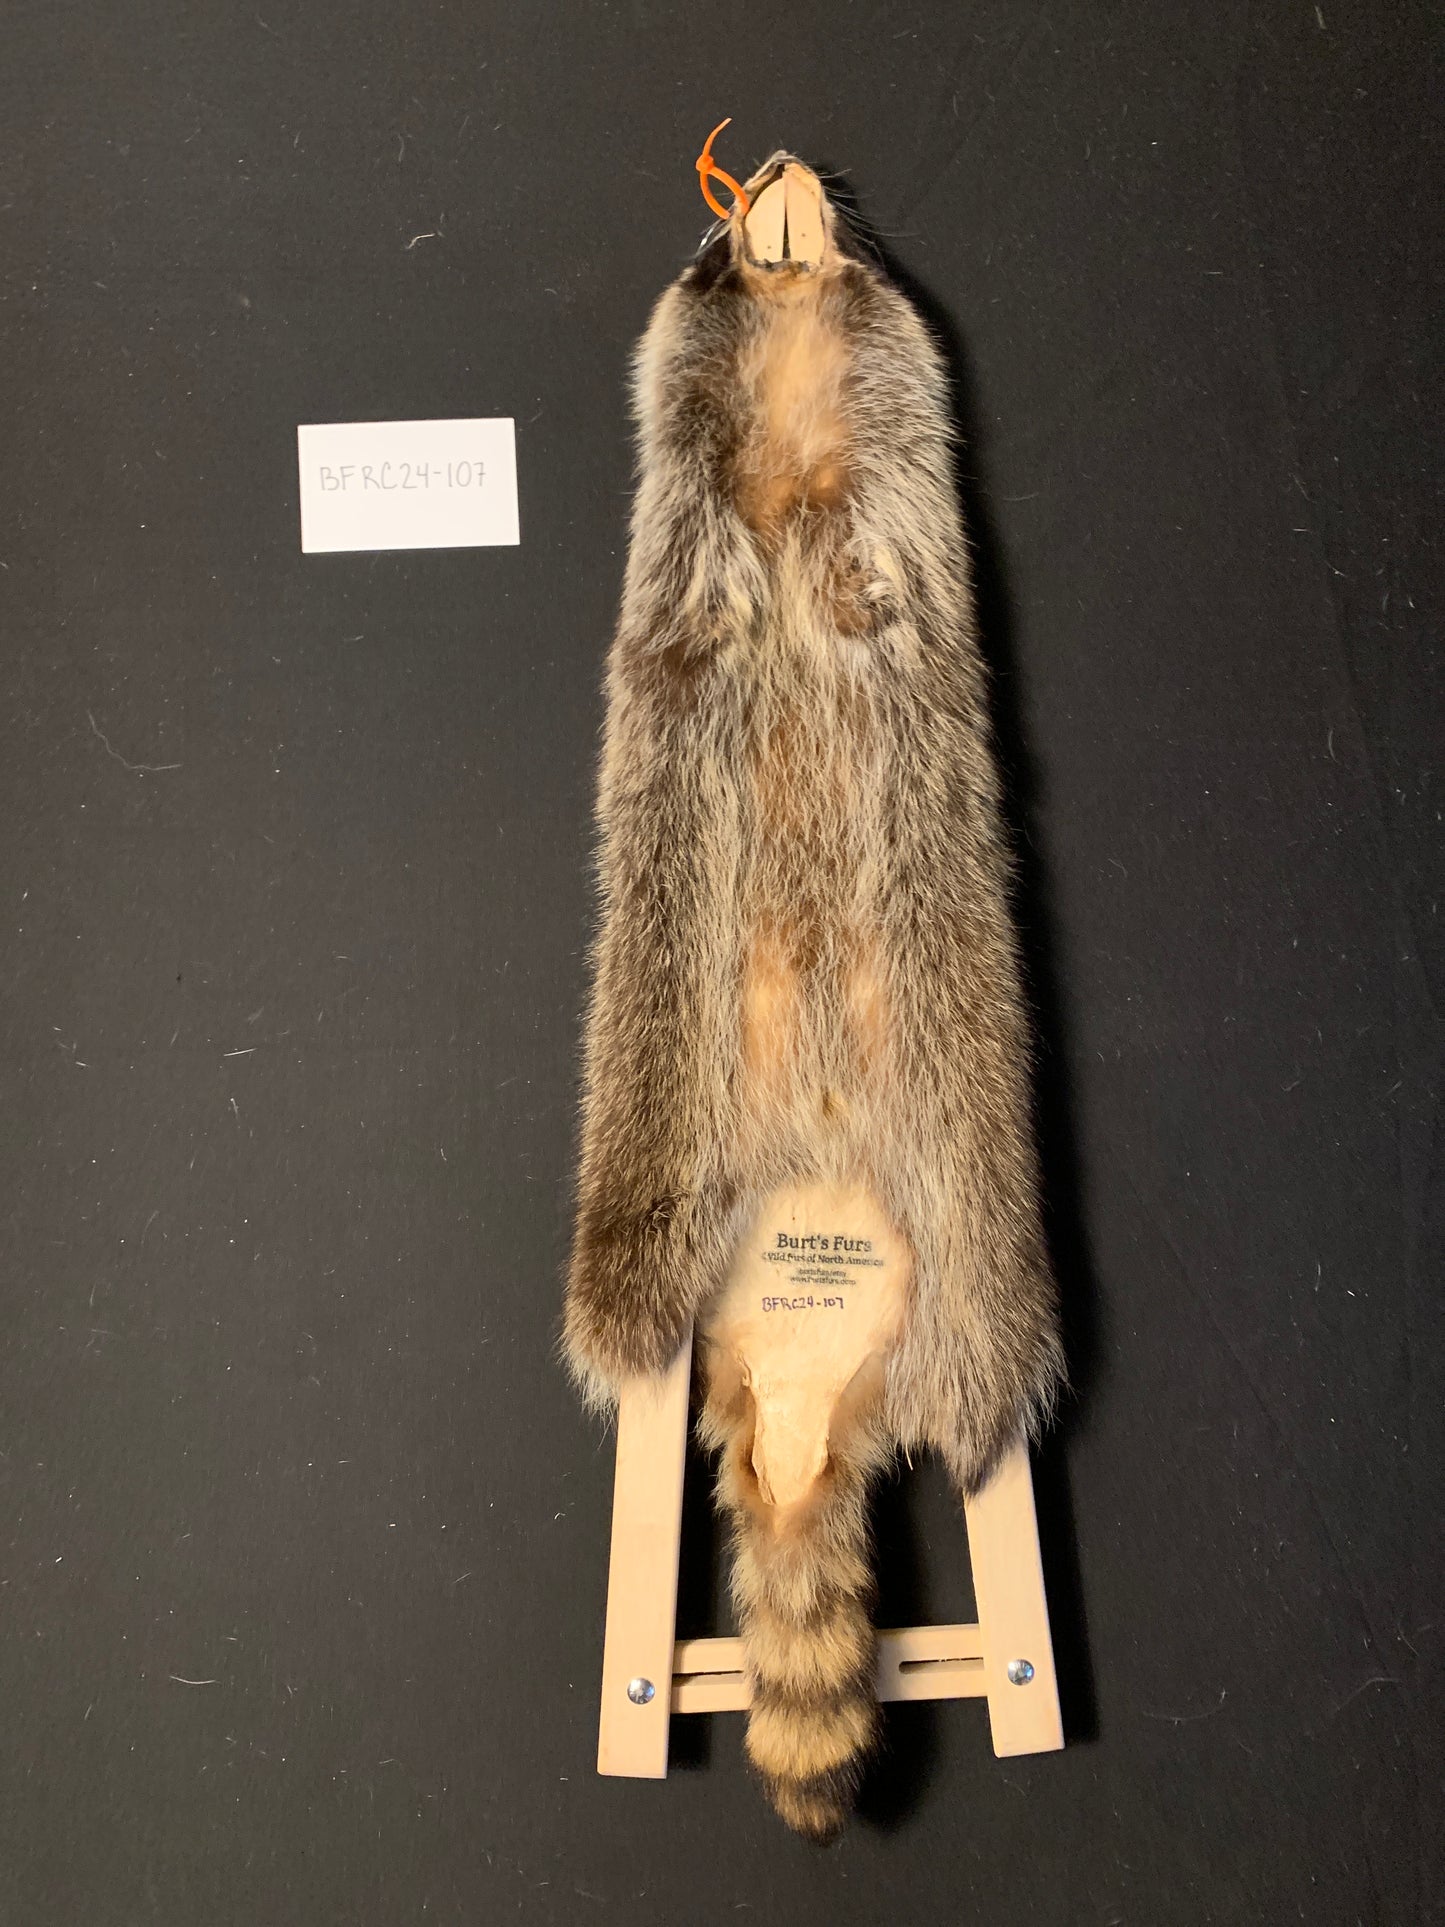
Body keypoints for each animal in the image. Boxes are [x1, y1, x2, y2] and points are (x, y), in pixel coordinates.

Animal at [564, 148, 1064, 1838]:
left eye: (838, 240)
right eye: (713, 242)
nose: (769, 178)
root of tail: (796, 1410)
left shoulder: (898, 489)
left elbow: (887, 561)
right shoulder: (686, 524)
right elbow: (694, 593)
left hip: (970, 1234)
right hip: (655, 1176)